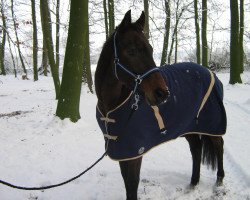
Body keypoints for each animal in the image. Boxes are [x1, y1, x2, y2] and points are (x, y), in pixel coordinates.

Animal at [94, 10, 227, 200]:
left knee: (218, 145)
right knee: (196, 149)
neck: (112, 108)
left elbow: (132, 186)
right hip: (189, 126)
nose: (162, 93)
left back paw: (219, 181)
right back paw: (193, 184)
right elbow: (128, 184)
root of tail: (211, 73)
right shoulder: (124, 152)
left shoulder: (134, 153)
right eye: (131, 51)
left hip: (212, 124)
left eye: (150, 49)